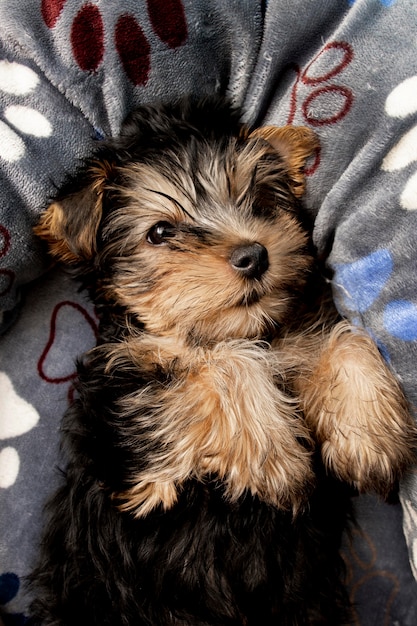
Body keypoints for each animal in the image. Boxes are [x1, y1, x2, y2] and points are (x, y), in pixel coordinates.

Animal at [28, 95, 412, 620]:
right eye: (160, 232)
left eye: (260, 202)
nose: (254, 255)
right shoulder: (128, 451)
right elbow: (218, 363)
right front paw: (277, 459)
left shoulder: (290, 340)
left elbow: (343, 337)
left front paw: (368, 439)